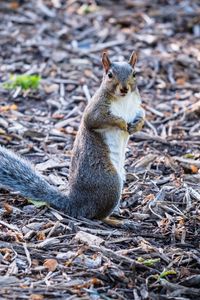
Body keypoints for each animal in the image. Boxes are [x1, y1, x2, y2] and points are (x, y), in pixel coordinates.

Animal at [0, 51, 145, 220]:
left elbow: (142, 114)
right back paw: (116, 221)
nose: (124, 88)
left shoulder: (136, 107)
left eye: (134, 74)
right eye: (110, 75)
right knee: (96, 216)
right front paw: (121, 123)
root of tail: (75, 202)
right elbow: (97, 119)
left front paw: (137, 125)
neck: (124, 100)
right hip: (110, 183)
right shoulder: (95, 110)